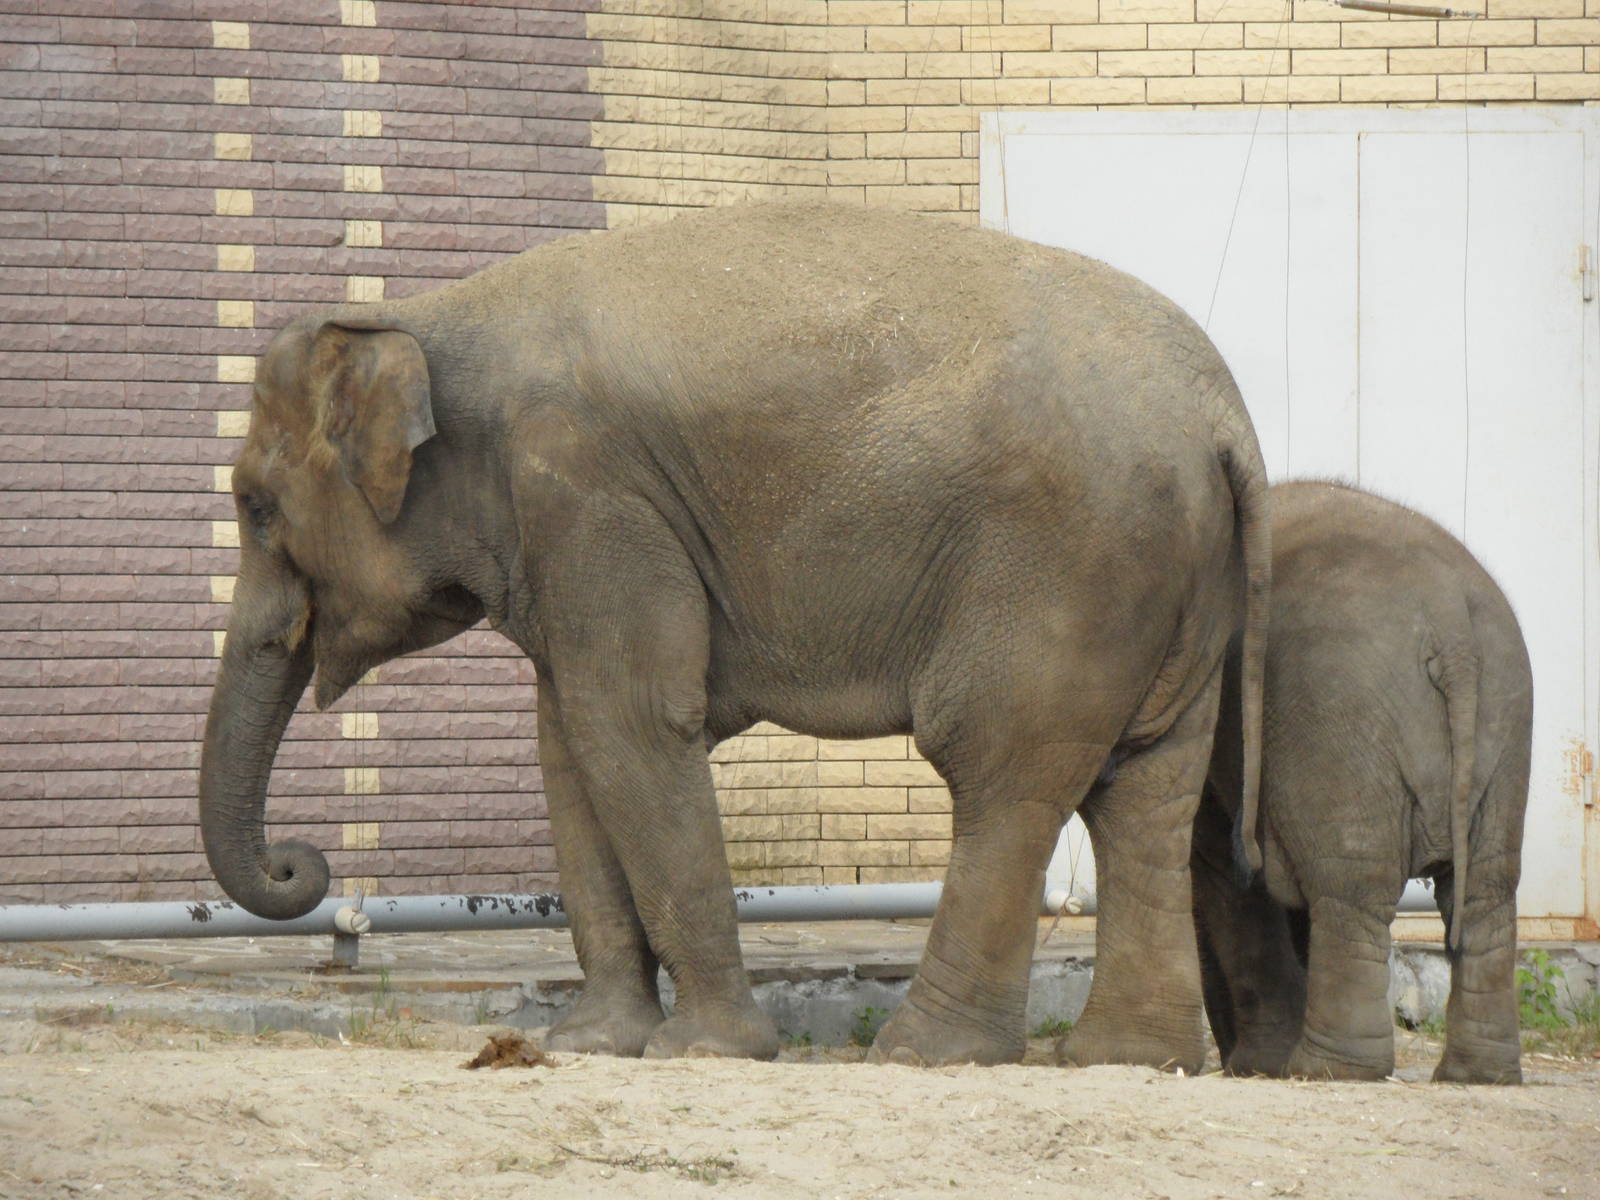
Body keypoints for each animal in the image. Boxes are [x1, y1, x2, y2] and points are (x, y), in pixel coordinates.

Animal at [199, 201, 1270, 1069]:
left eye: (255, 507)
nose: (300, 865)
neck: (429, 317)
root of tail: (1223, 418)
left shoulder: (587, 495)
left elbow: (631, 726)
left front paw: (704, 1051)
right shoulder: (564, 535)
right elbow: (570, 746)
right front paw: (593, 1044)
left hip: (1071, 565)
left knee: (1003, 772)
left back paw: (925, 1054)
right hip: (1171, 582)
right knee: (1147, 789)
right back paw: (1129, 1059)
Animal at [1193, 480, 1532, 1084]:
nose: (1224, 1048)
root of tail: (1452, 627)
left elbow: (1229, 877)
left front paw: (1256, 1067)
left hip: (1338, 722)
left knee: (1351, 890)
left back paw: (1326, 1069)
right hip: (1506, 719)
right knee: (1486, 892)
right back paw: (1475, 1076)